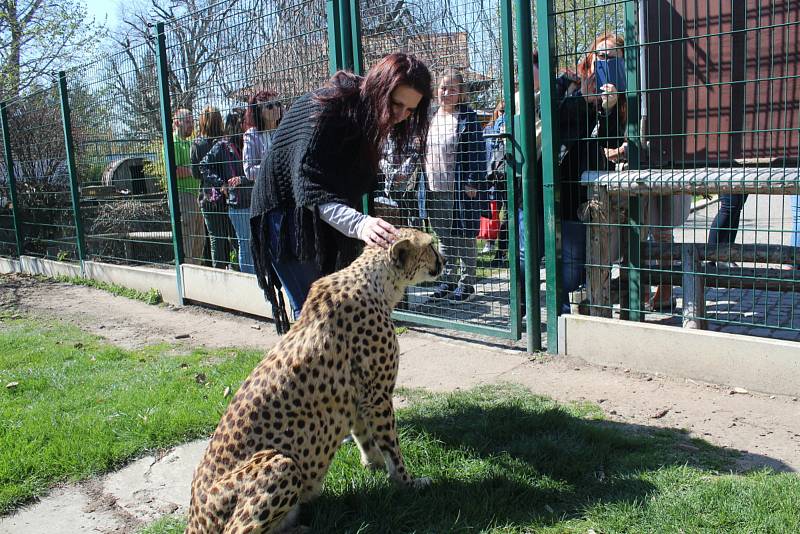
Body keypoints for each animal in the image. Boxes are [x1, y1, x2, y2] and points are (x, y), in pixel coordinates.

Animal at [188, 229, 446, 534]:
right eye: (430, 246)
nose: (444, 259)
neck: (376, 282)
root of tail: (194, 518)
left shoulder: (357, 396)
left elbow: (364, 435)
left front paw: (373, 466)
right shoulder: (378, 395)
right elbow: (392, 448)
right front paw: (408, 483)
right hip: (282, 464)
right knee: (237, 529)